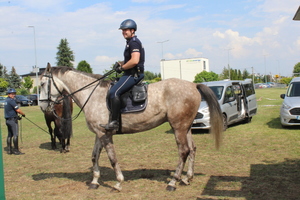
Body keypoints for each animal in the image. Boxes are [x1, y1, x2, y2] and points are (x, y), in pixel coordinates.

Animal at [39, 63, 223, 191]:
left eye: (41, 84)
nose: (42, 106)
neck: (92, 94)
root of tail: (193, 85)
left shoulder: (106, 134)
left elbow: (112, 158)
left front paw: (118, 183)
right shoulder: (99, 133)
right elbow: (94, 156)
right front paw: (94, 181)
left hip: (178, 128)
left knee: (183, 151)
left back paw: (173, 182)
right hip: (186, 127)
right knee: (192, 149)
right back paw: (187, 178)